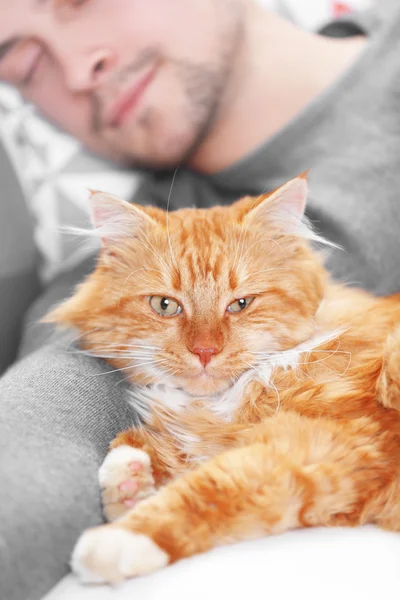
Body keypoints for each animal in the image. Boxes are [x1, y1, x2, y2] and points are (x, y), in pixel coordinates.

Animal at [47, 176, 400, 584]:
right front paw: (129, 481)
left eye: (240, 304)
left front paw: (118, 539)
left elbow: (211, 489)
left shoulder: (332, 442)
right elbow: (139, 446)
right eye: (165, 305)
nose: (205, 351)